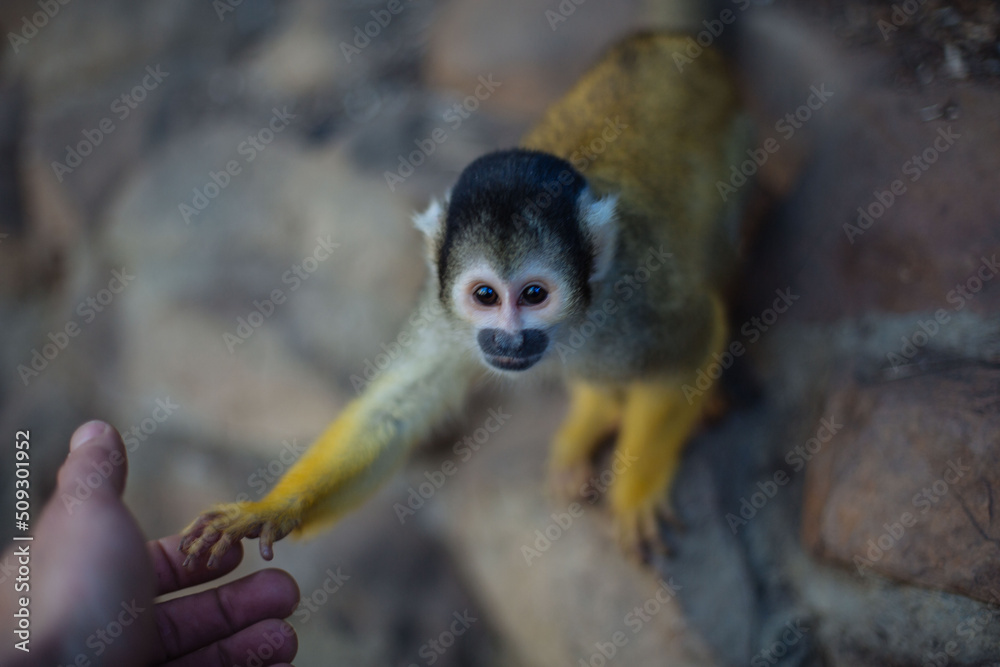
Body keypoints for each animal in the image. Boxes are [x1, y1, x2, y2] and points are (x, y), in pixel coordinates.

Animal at [180, 31, 747, 566]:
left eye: (534, 294)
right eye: (485, 295)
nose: (508, 339)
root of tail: (663, 42)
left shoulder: (634, 303)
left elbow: (692, 344)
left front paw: (634, 495)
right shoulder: (441, 314)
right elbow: (395, 413)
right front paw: (271, 509)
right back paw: (597, 409)